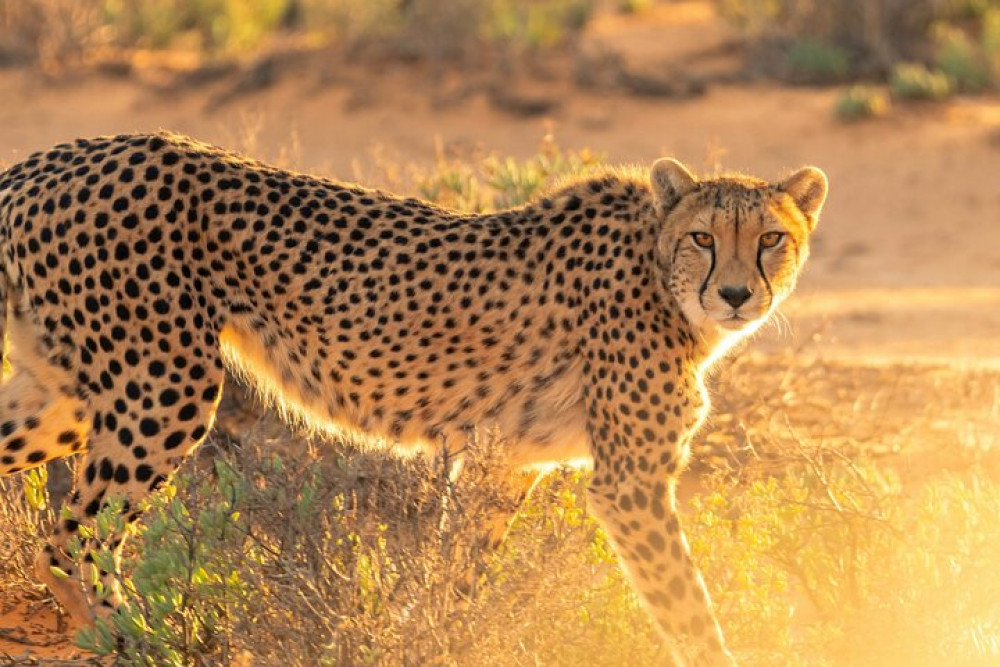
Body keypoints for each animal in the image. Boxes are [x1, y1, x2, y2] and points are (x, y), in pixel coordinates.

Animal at [0, 132, 826, 665]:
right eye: (703, 236)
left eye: (771, 239)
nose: (736, 294)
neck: (659, 271)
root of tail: (49, 159)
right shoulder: (630, 484)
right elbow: (688, 607)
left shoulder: (503, 462)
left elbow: (455, 577)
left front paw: (429, 639)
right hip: (163, 386)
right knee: (78, 533)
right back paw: (135, 640)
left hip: (67, 393)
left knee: (52, 521)